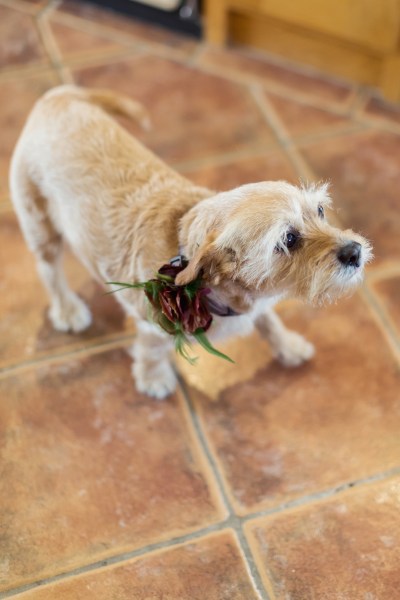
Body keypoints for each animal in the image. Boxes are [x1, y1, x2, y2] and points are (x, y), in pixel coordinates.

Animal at [8, 84, 372, 398]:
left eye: (320, 210)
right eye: (289, 239)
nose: (355, 252)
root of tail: (58, 97)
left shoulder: (259, 306)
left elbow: (270, 320)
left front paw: (288, 345)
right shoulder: (154, 326)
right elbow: (152, 351)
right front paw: (154, 379)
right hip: (39, 224)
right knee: (48, 270)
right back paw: (68, 309)